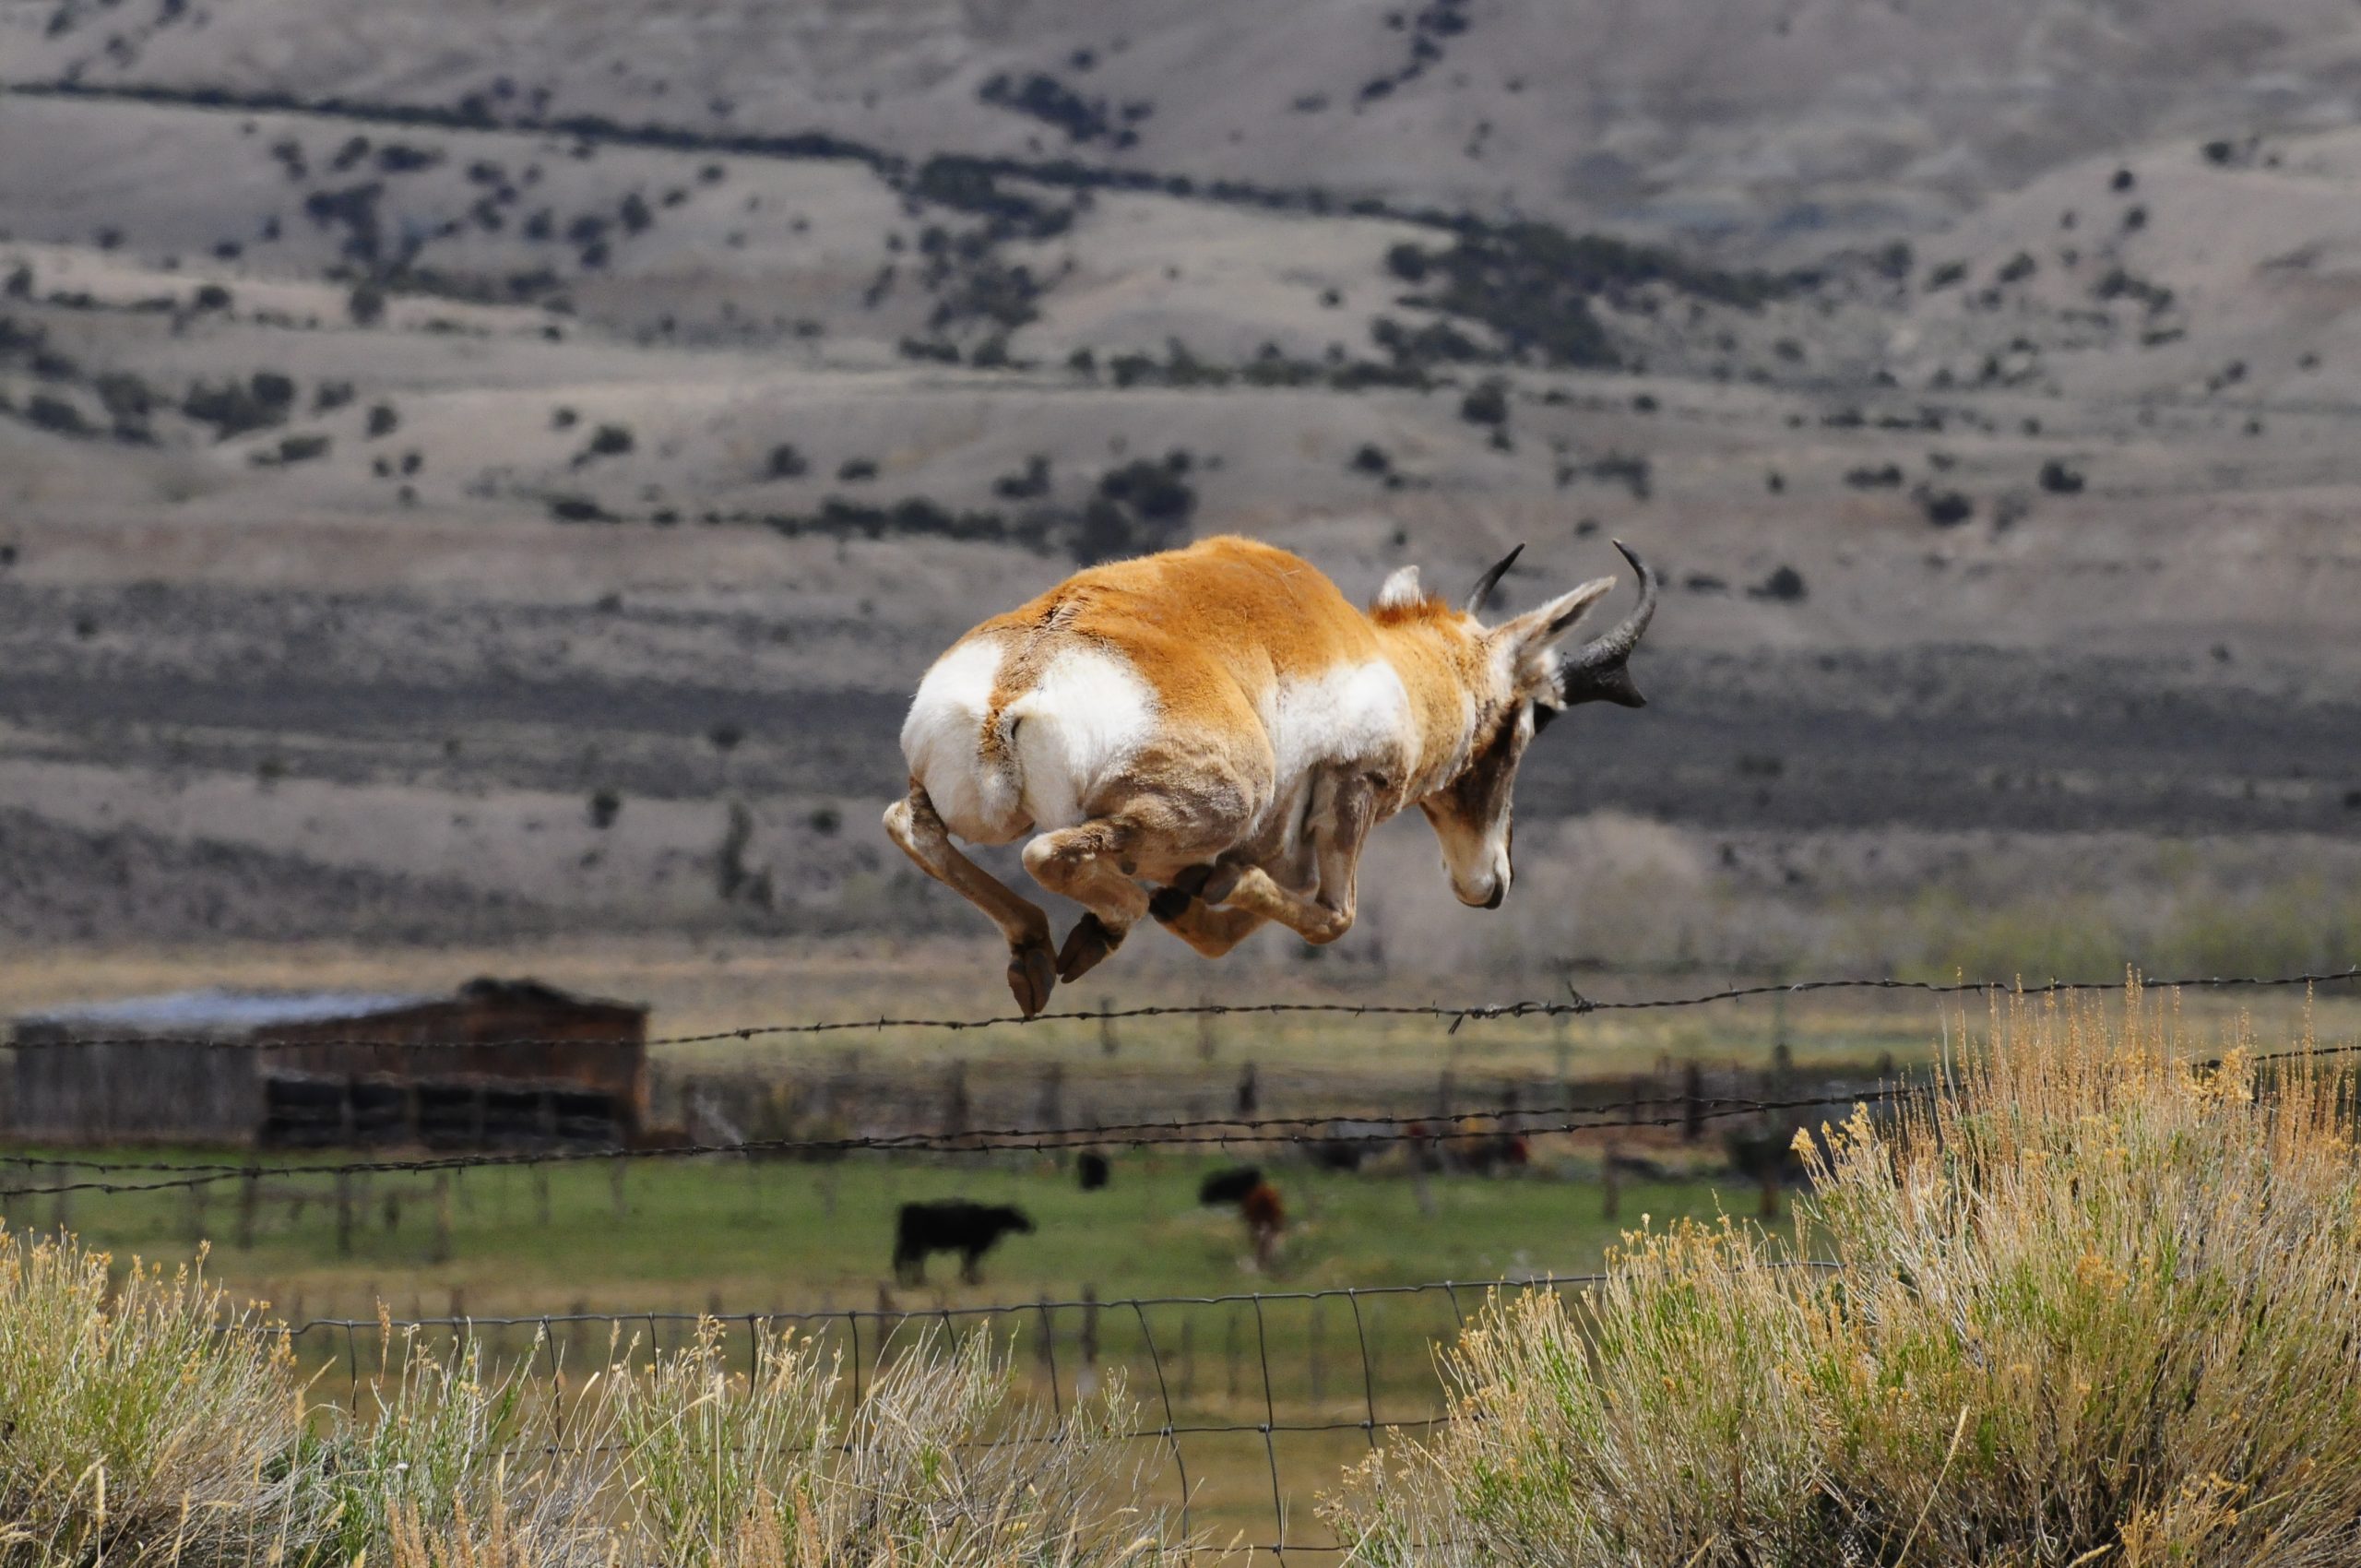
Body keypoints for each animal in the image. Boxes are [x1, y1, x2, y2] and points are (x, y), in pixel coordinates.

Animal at [887, 533, 1662, 1010]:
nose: (1490, 884)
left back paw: (1035, 957)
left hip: (960, 805)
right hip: (1208, 808)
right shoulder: (1344, 799)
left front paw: (1192, 899)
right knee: (1052, 853)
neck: (1371, 650)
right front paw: (1195, 899)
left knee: (910, 824)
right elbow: (1332, 916)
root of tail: (1017, 679)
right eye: (1523, 725)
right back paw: (1097, 934)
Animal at [887, 1199, 1029, 1284]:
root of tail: (907, 1208)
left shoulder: (968, 1246)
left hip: (908, 1242)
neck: (989, 1219)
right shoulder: (974, 1245)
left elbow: (967, 1262)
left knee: (904, 1259)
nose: (1030, 1225)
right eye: (1016, 1215)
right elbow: (971, 1262)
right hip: (912, 1242)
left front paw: (965, 1278)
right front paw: (972, 1280)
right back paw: (910, 1281)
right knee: (904, 1260)